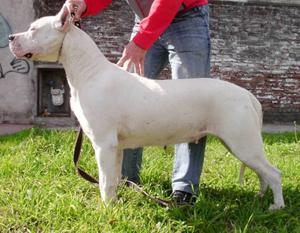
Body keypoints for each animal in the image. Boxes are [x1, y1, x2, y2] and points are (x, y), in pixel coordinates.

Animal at [9, 8, 284, 209]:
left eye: (33, 29)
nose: (10, 38)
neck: (89, 71)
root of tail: (248, 95)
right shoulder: (115, 146)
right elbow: (113, 179)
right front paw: (115, 203)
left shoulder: (103, 144)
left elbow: (104, 180)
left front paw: (106, 210)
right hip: (240, 144)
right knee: (263, 173)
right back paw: (261, 198)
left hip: (242, 142)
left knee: (274, 173)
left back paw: (276, 207)